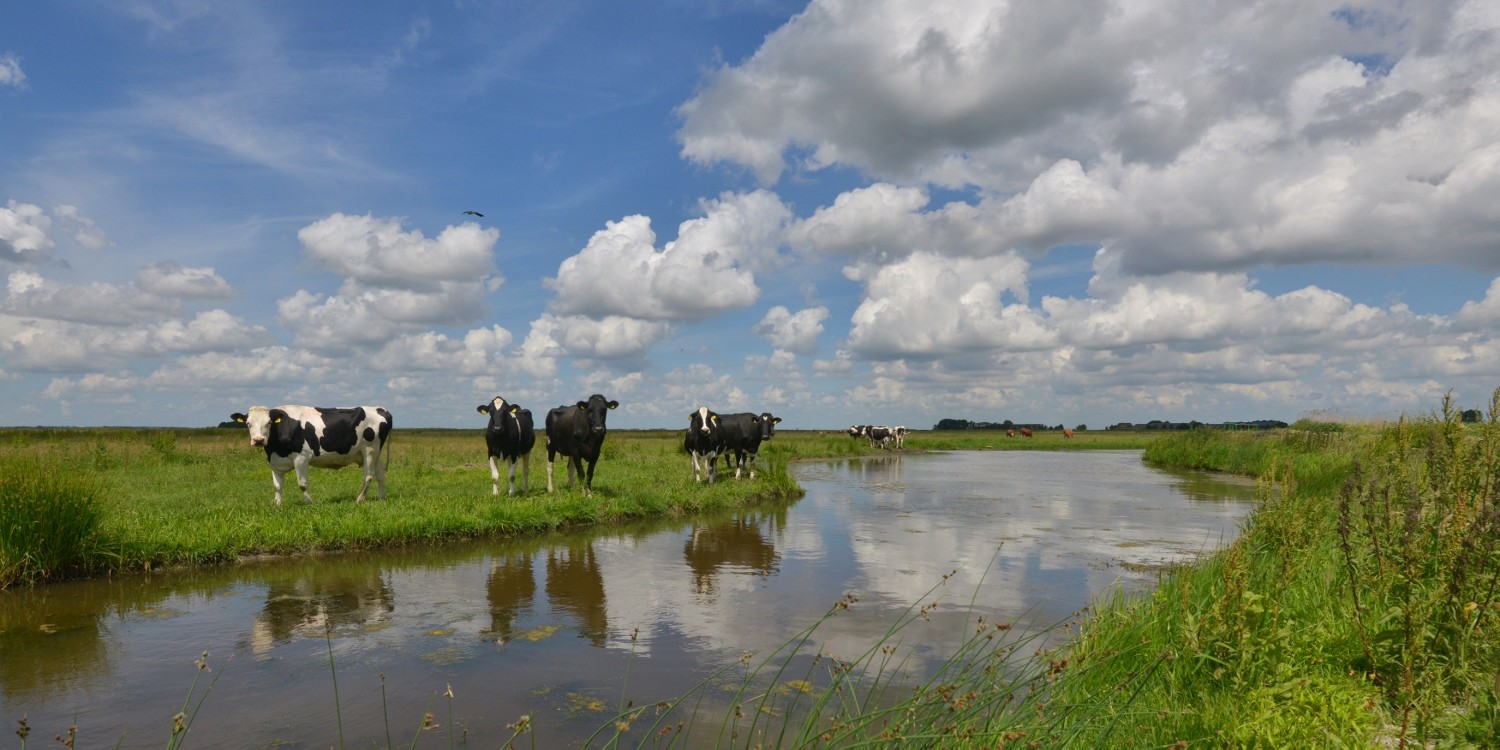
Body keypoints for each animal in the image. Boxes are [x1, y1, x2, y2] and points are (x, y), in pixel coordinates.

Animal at [228, 405, 393, 504]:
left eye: (269, 423)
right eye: (248, 423)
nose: (258, 440)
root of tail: (381, 409)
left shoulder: (301, 458)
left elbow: (302, 484)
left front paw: (309, 503)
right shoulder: (275, 462)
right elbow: (277, 486)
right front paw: (277, 505)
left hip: (369, 450)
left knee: (368, 476)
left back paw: (359, 499)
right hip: (374, 453)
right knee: (380, 474)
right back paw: (381, 498)